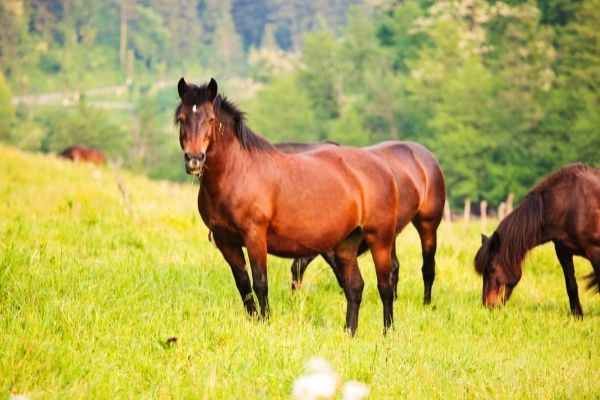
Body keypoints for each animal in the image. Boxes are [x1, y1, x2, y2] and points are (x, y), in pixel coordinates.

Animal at [177, 78, 404, 334]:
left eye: (210, 119)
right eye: (182, 118)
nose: (194, 159)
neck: (238, 172)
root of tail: (384, 167)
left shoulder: (255, 236)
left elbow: (260, 282)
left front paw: (265, 322)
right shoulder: (226, 241)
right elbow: (243, 284)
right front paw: (254, 320)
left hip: (380, 239)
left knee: (385, 285)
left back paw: (387, 333)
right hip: (347, 244)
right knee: (355, 286)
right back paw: (349, 333)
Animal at [276, 139, 446, 304]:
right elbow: (298, 267)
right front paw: (294, 300)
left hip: (427, 225)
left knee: (428, 266)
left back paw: (426, 302)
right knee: (394, 266)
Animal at [474, 162, 600, 316]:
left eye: (492, 269)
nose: (489, 306)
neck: (570, 204)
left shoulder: (595, 251)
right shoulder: (563, 251)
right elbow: (571, 286)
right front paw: (577, 316)